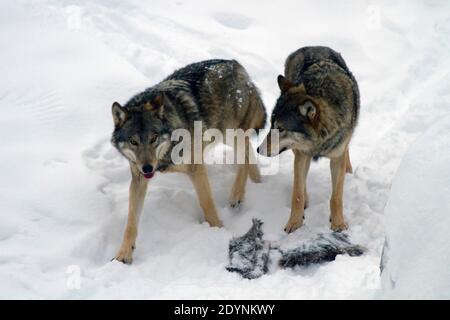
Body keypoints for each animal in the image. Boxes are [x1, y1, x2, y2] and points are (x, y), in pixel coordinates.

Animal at [110, 58, 266, 264]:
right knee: (249, 155)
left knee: (245, 157)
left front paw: (218, 230)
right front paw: (123, 255)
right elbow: (131, 223)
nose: (147, 168)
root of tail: (236, 64)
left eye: (153, 138)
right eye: (133, 142)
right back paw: (258, 184)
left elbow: (207, 204)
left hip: (231, 134)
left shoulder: (196, 169)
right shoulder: (138, 179)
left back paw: (236, 195)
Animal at [258, 45, 360, 232]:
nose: (258, 149)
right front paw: (294, 223)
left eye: (281, 128)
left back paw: (348, 168)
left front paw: (338, 224)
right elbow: (297, 194)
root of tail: (312, 46)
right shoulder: (302, 155)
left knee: (347, 149)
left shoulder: (336, 158)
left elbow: (336, 197)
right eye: (271, 124)